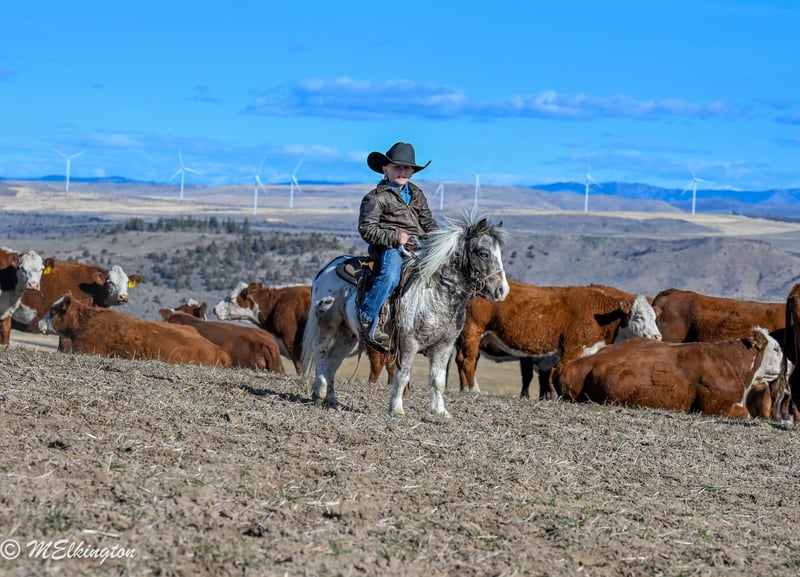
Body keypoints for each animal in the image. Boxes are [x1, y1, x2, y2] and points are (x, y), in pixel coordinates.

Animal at [213, 281, 393, 384]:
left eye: (231, 298)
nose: (214, 309)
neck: (277, 303)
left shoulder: (292, 341)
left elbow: (300, 364)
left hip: (372, 345)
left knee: (377, 365)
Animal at [301, 214, 510, 418]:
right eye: (483, 253)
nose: (502, 290)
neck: (434, 293)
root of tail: (328, 268)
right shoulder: (409, 343)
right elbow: (402, 377)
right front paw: (397, 409)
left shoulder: (444, 345)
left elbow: (438, 380)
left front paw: (441, 413)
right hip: (328, 324)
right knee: (320, 351)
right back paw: (318, 393)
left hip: (349, 335)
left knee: (333, 360)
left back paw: (332, 400)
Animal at [455, 281, 662, 399]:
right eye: (639, 317)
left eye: (654, 318)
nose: (657, 337)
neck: (599, 315)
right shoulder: (572, 348)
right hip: (472, 330)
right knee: (468, 360)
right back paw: (472, 390)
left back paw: (465, 388)